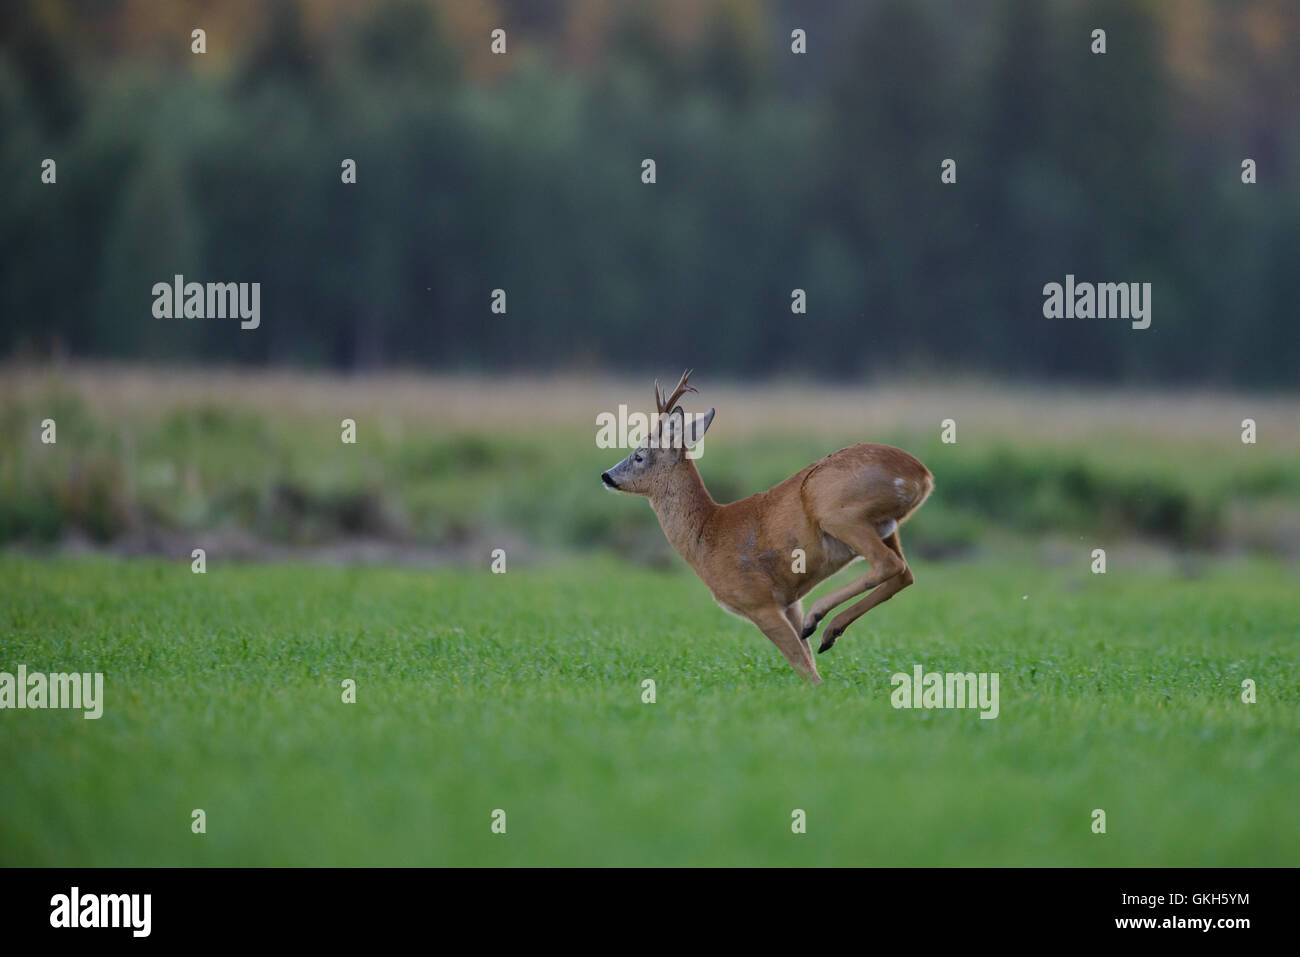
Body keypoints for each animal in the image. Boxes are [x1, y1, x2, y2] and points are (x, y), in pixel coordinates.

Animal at [603, 369, 930, 686]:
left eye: (639, 455)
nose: (607, 475)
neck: (706, 533)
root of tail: (922, 476)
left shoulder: (758, 599)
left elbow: (803, 666)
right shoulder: (790, 601)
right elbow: (807, 660)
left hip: (838, 513)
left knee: (888, 564)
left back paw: (818, 618)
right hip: (886, 527)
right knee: (905, 573)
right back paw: (827, 633)